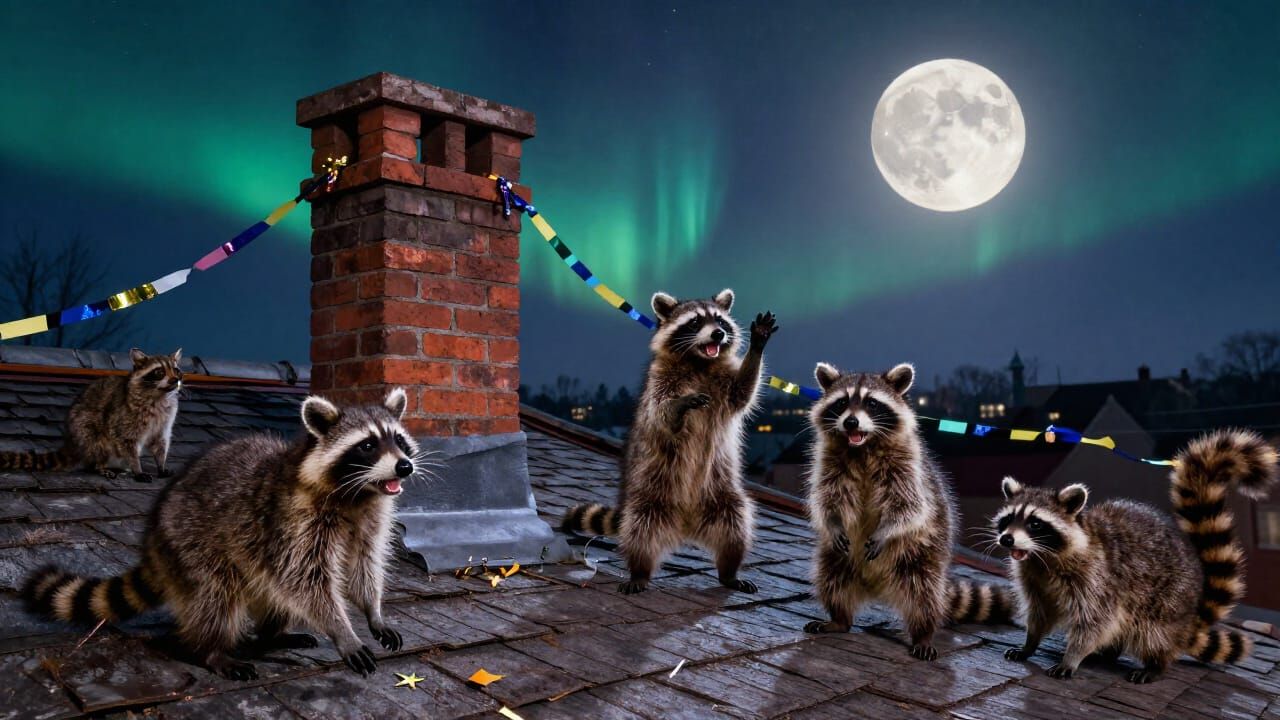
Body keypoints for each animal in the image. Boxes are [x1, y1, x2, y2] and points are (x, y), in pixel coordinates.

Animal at [0, 348, 182, 481]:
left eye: (176, 370)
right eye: (159, 372)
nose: (175, 380)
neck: (159, 395)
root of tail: (72, 442)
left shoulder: (166, 419)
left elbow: (160, 442)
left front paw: (161, 465)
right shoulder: (125, 417)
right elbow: (127, 442)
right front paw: (137, 468)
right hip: (85, 428)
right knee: (97, 444)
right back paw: (99, 466)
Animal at [21, 388, 427, 680]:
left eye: (398, 440)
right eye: (368, 445)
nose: (405, 467)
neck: (358, 494)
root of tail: (153, 539)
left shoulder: (369, 519)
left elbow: (363, 565)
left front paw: (373, 612)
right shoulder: (290, 521)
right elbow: (305, 581)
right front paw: (342, 631)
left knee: (270, 598)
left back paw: (271, 636)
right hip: (190, 543)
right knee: (216, 596)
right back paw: (211, 651)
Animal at [562, 289, 777, 595]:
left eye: (720, 319)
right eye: (695, 321)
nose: (718, 334)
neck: (699, 362)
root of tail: (687, 522)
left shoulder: (725, 385)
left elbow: (743, 391)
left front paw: (757, 345)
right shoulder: (660, 381)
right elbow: (661, 413)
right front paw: (678, 406)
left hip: (722, 496)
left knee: (736, 524)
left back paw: (729, 570)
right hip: (649, 497)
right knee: (641, 532)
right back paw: (639, 571)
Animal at [803, 362, 1014, 660]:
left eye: (872, 403)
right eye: (842, 402)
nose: (851, 422)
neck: (863, 447)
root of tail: (876, 586)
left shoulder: (908, 468)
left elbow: (910, 507)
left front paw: (887, 530)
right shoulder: (828, 462)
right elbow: (826, 499)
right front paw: (833, 523)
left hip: (921, 559)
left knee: (923, 596)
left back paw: (923, 633)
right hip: (836, 559)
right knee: (831, 578)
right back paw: (839, 619)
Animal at [996, 429, 1278, 683]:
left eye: (1035, 524)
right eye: (1008, 519)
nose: (1006, 539)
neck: (1041, 557)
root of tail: (1187, 621)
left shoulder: (1097, 579)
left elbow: (1095, 622)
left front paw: (1072, 657)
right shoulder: (1034, 579)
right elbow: (1040, 613)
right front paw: (1030, 643)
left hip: (1168, 602)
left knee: (1152, 633)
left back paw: (1155, 665)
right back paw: (1108, 653)